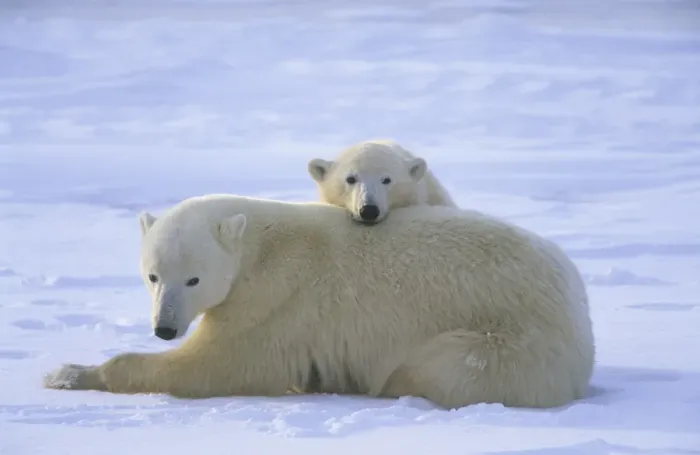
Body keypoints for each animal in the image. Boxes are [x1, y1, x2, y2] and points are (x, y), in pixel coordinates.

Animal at [44, 194, 595, 410]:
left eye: (195, 278)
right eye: (152, 275)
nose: (164, 327)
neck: (259, 244)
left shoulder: (277, 298)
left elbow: (220, 365)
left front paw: (67, 373)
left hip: (507, 339)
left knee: (439, 368)